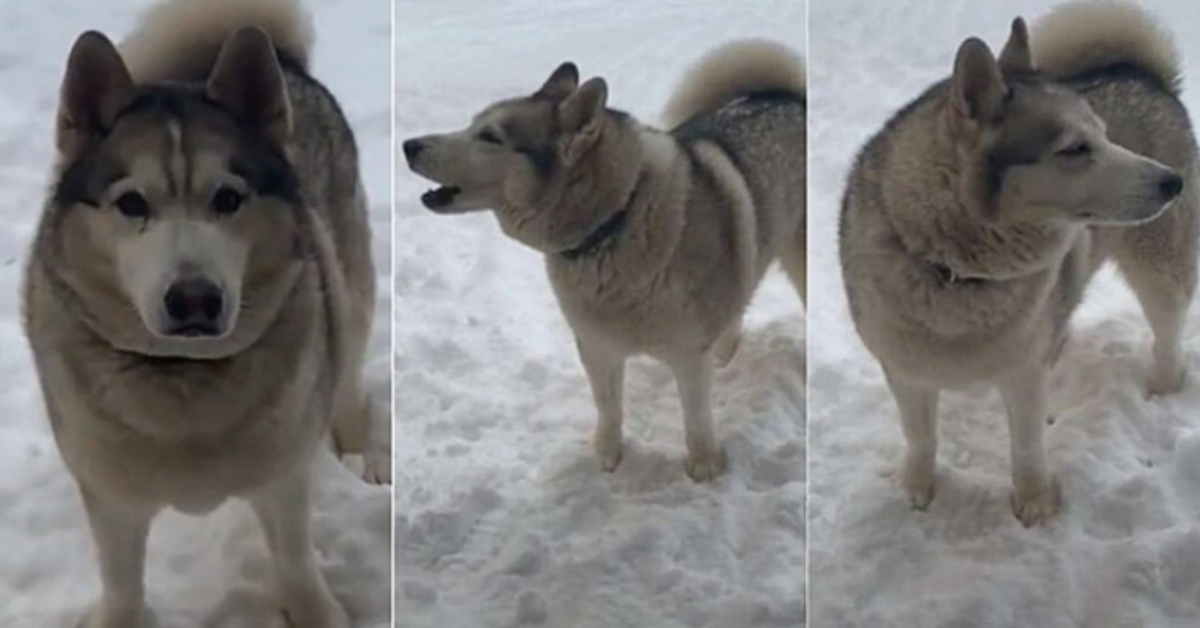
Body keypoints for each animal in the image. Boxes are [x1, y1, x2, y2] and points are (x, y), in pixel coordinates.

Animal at [24, 0, 379, 624]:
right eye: (131, 203)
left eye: (228, 199)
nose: (195, 298)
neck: (182, 377)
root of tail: (284, 61)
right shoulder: (110, 496)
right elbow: (122, 583)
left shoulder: (282, 479)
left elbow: (295, 563)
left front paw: (314, 609)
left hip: (349, 289)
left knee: (349, 371)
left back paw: (363, 457)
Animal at [403, 40, 806, 482]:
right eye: (472, 124)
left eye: (490, 136)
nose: (409, 145)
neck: (614, 224)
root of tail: (789, 96)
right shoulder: (596, 346)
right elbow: (608, 406)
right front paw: (607, 457)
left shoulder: (689, 354)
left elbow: (696, 417)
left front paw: (704, 466)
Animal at [840, 0, 1195, 528]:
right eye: (1075, 149)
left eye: (1106, 137)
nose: (1171, 183)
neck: (956, 271)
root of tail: (1144, 74)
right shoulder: (904, 368)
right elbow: (920, 435)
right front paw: (916, 491)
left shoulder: (1023, 372)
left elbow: (1027, 443)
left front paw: (1033, 502)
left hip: (1161, 270)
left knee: (1167, 334)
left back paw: (1163, 387)